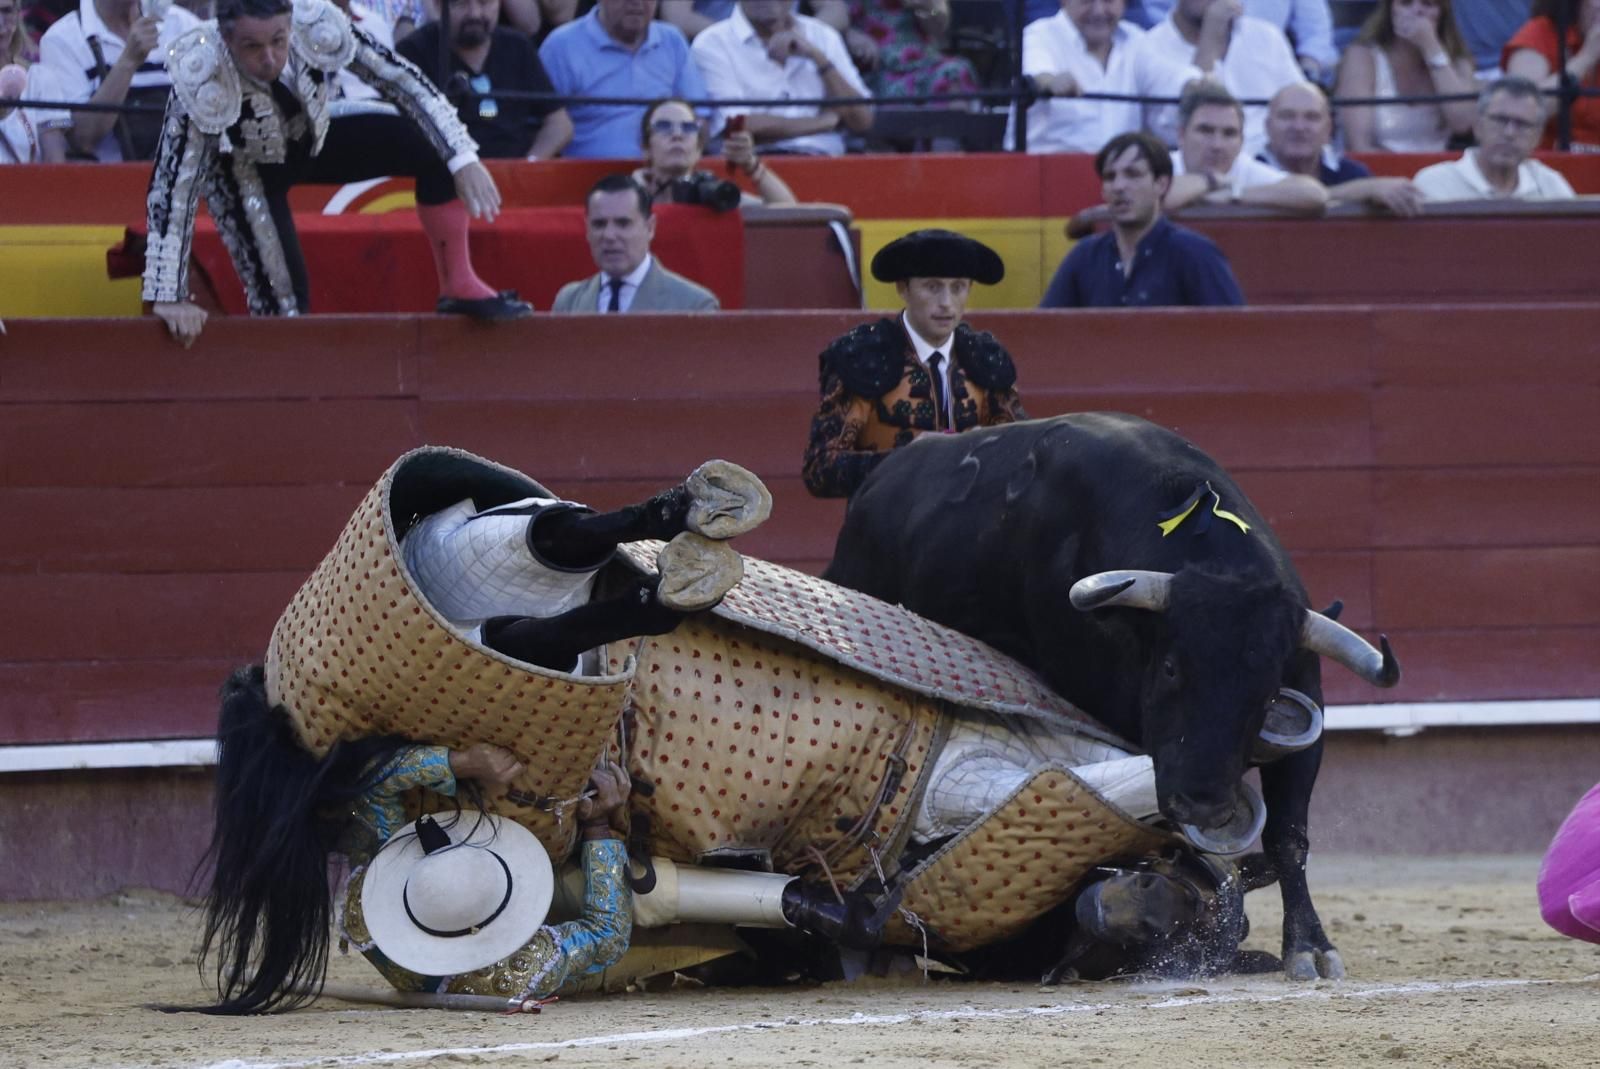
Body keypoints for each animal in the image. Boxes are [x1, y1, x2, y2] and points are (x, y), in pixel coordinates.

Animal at [825, 412, 1401, 979]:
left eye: (1264, 693)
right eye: (1170, 667)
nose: (1204, 804)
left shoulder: (1307, 706)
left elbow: (1289, 836)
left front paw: (1309, 946)